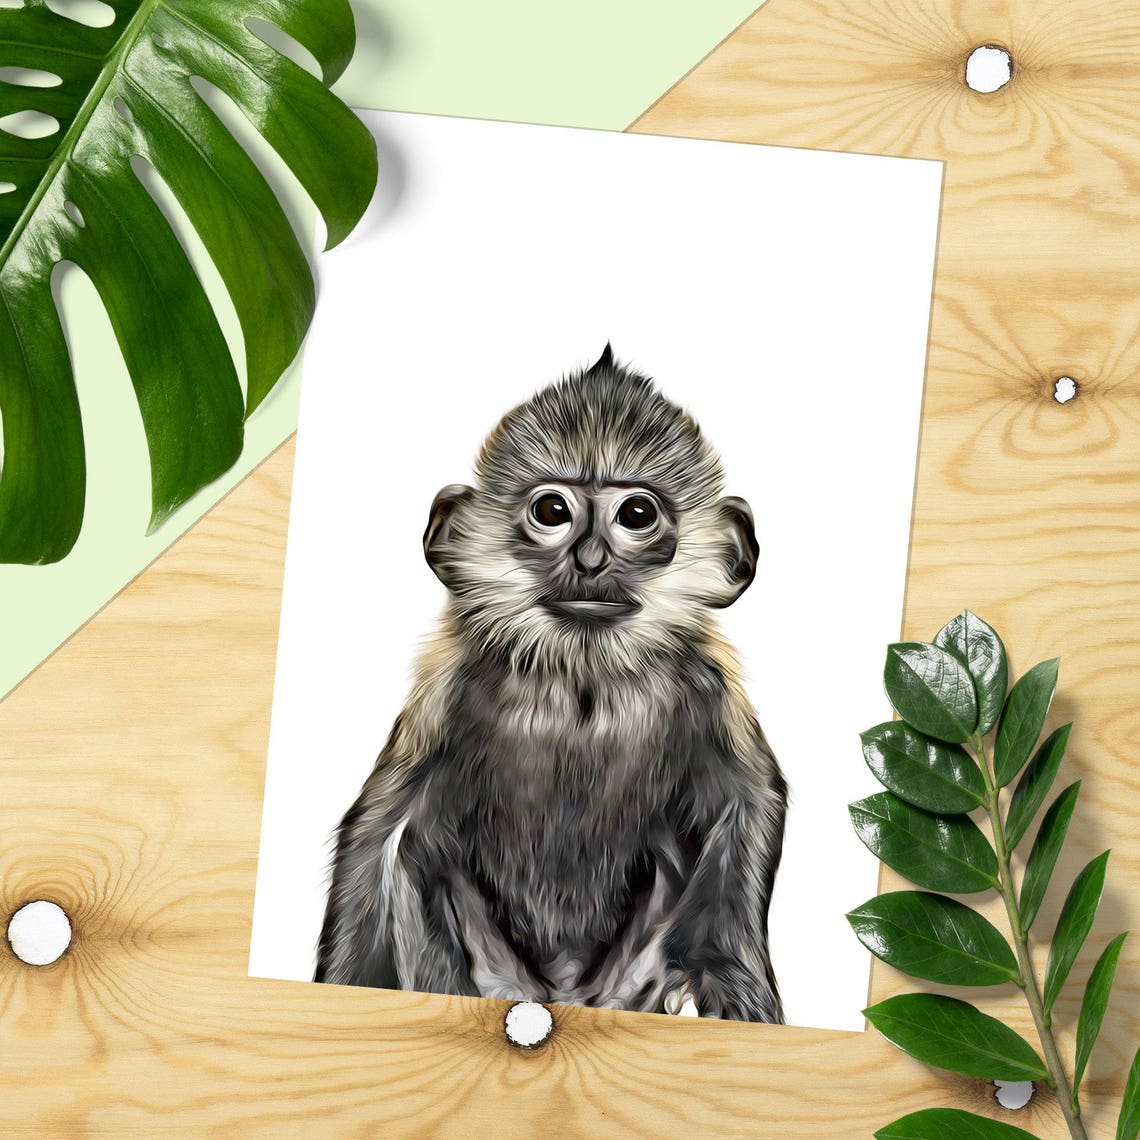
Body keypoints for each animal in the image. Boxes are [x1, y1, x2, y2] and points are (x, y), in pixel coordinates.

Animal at [314, 345, 786, 1023]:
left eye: (636, 514)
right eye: (552, 512)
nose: (590, 562)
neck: (582, 675)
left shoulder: (709, 683)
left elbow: (747, 801)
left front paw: (728, 976)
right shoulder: (446, 686)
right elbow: (379, 831)